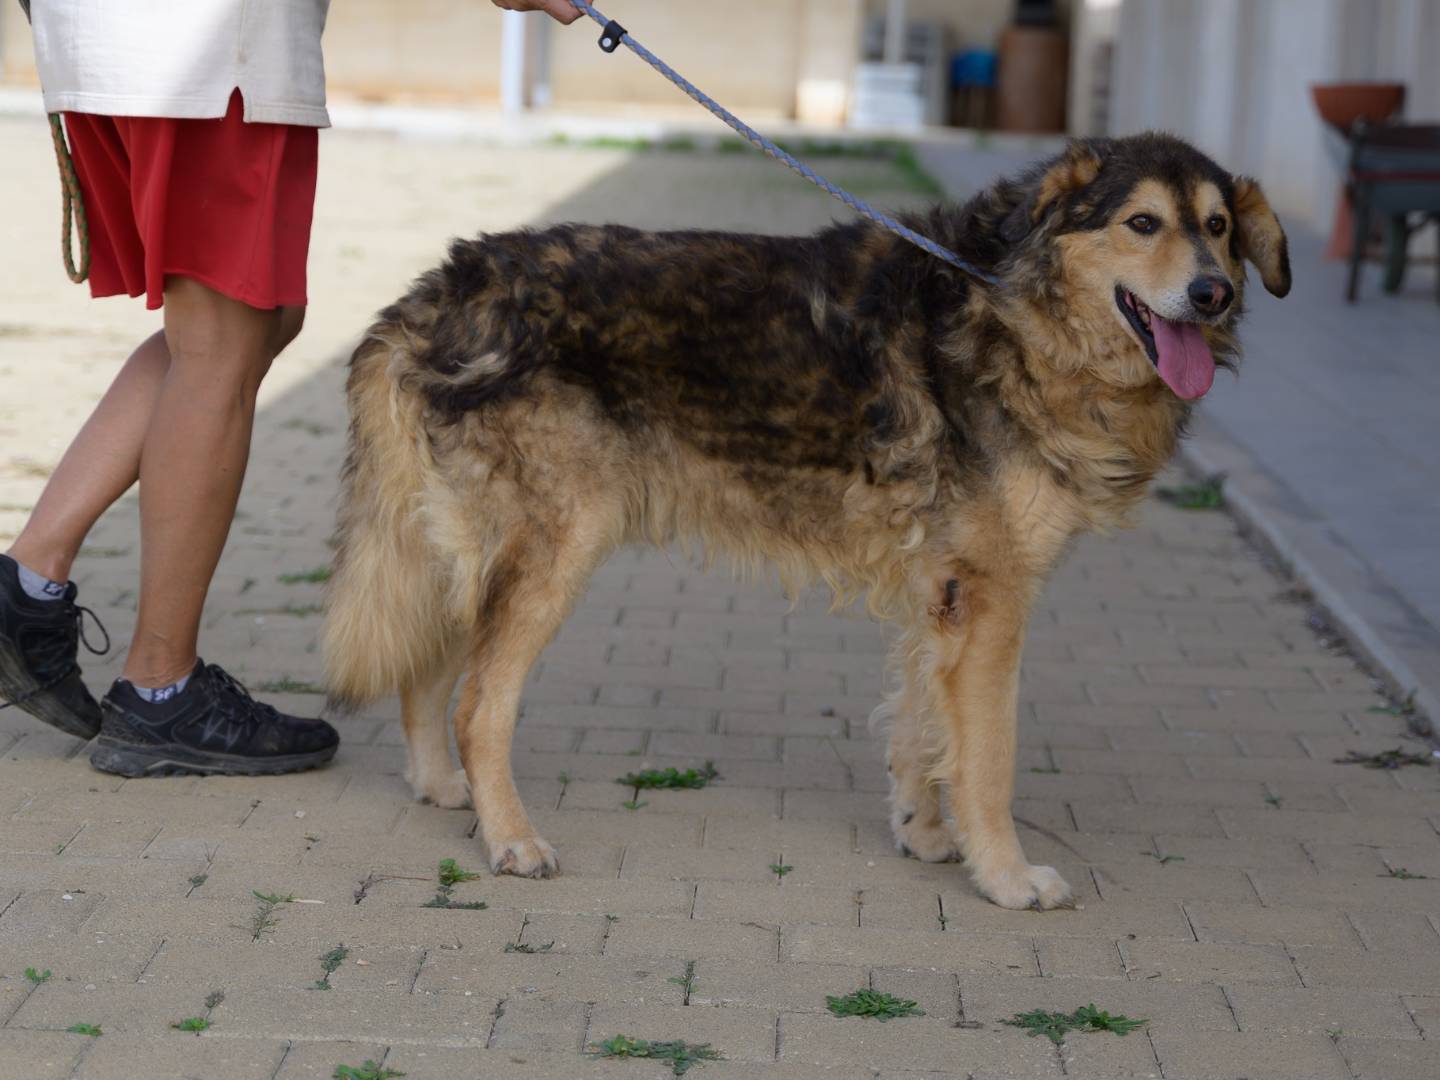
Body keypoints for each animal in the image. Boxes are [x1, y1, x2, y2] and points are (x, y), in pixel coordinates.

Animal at [321, 135, 1290, 915]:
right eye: (1142, 222)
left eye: (1218, 226)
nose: (1213, 292)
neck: (1017, 311)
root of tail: (440, 287)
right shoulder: (991, 600)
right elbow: (989, 759)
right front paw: (1006, 877)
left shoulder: (940, 595)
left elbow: (921, 729)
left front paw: (925, 835)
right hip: (557, 547)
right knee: (478, 701)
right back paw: (511, 838)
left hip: (479, 553)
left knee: (427, 673)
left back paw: (445, 791)